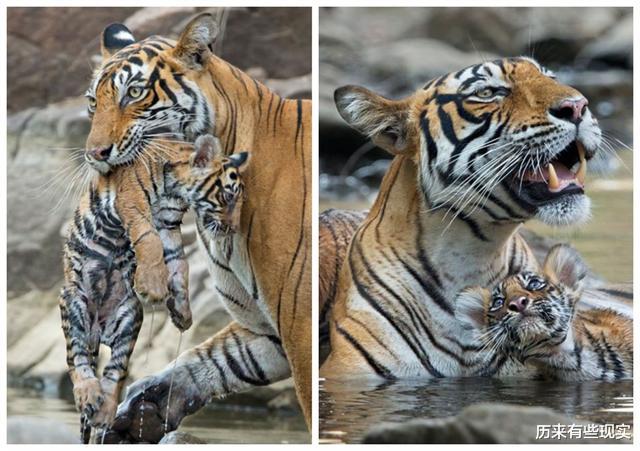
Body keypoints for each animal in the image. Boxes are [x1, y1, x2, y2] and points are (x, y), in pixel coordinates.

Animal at [59, 133, 249, 438]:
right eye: (228, 196)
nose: (232, 228)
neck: (176, 191)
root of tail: (97, 331)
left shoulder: (168, 224)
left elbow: (179, 262)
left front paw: (182, 314)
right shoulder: (133, 204)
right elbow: (149, 240)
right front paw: (154, 287)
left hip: (129, 317)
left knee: (116, 371)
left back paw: (105, 411)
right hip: (74, 303)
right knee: (77, 360)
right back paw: (88, 394)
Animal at [78, 14, 311, 442]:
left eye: (134, 93)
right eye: (92, 102)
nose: (94, 154)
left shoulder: (300, 319)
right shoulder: (267, 327)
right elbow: (222, 356)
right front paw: (145, 404)